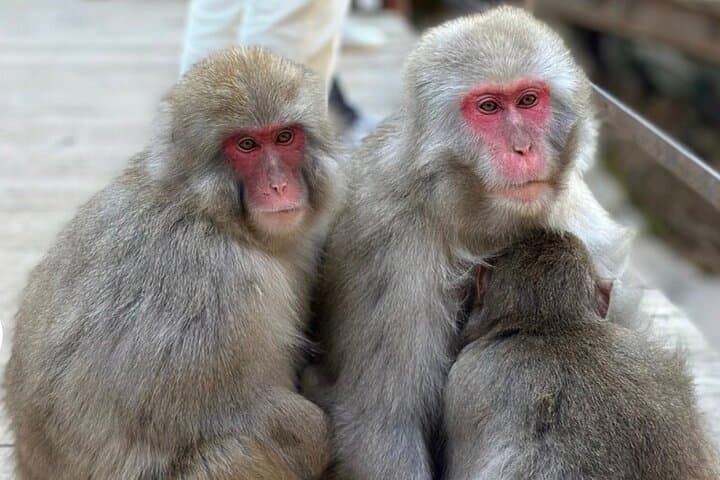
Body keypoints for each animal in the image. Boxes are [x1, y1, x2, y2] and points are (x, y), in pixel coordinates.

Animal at [4, 47, 343, 480]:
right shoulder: (215, 281)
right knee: (238, 451)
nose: (279, 185)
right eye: (246, 145)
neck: (203, 207)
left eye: (285, 137)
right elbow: (178, 409)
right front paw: (314, 437)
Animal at [309, 6, 635, 479]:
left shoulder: (578, 220)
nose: (523, 148)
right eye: (488, 107)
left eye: (529, 101)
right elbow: (384, 423)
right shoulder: (392, 251)